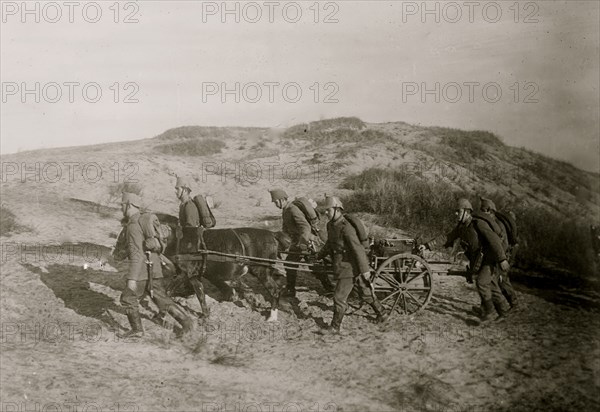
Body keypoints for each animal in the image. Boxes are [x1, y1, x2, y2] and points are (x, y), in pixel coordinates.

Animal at [114, 214, 290, 324]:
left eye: (125, 236)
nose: (115, 254)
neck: (178, 240)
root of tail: (273, 234)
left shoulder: (187, 275)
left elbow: (183, 294)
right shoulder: (190, 276)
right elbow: (194, 295)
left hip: (261, 271)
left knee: (275, 290)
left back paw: (272, 316)